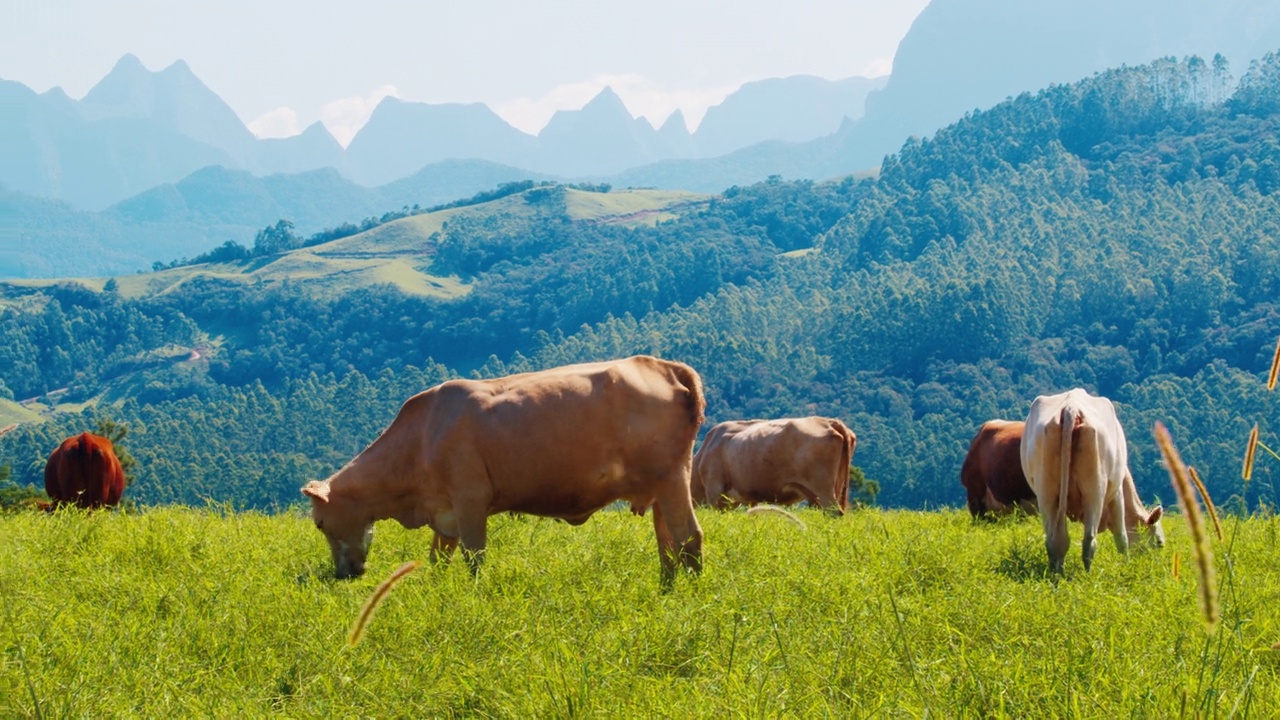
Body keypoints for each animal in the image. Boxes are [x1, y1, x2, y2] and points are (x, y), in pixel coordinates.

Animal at [298, 353, 706, 584]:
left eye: (319, 523)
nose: (342, 574)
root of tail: (660, 364)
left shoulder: (470, 499)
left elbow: (474, 555)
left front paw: (475, 594)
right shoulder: (444, 511)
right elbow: (438, 558)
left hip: (671, 478)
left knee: (688, 537)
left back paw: (691, 595)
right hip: (660, 486)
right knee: (668, 544)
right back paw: (666, 590)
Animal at [1024, 386, 1167, 571]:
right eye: (1159, 542)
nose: (1155, 567)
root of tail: (1071, 407)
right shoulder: (1117, 493)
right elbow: (1122, 537)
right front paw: (1126, 566)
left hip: (1046, 492)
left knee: (1055, 539)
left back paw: (1056, 572)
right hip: (1094, 491)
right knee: (1088, 541)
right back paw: (1088, 575)